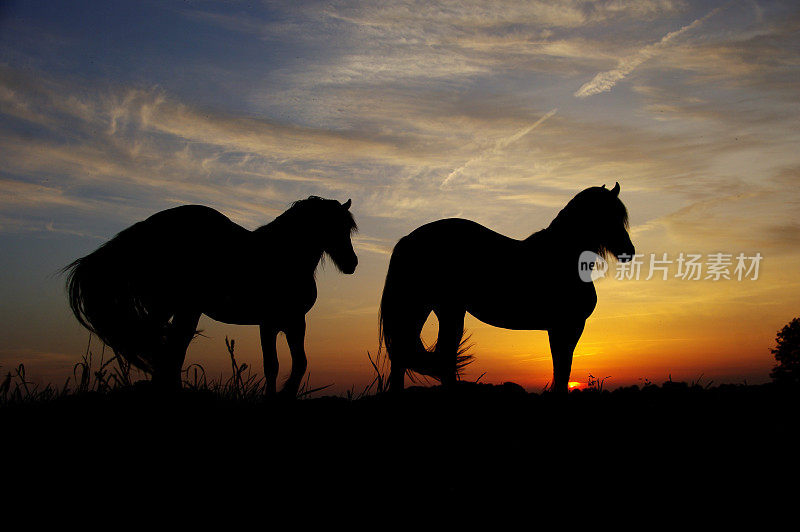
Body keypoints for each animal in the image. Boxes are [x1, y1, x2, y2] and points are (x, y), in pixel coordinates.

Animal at [64, 196, 358, 394]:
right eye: (331, 226)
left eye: (347, 228)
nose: (352, 263)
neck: (283, 256)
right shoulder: (270, 323)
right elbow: (273, 365)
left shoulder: (293, 323)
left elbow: (298, 363)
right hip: (176, 307)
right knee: (165, 347)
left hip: (178, 309)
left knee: (168, 347)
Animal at [378, 183, 636, 390]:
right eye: (607, 215)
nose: (629, 251)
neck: (561, 255)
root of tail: (407, 240)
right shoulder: (566, 326)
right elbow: (562, 371)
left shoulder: (561, 328)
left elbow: (562, 369)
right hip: (442, 309)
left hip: (429, 309)